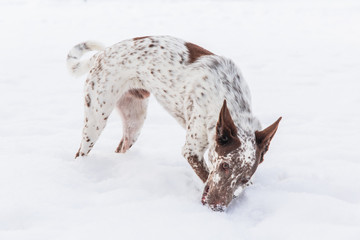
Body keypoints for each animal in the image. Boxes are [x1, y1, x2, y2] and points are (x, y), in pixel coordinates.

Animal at [67, 35, 282, 212]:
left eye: (245, 178)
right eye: (225, 166)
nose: (218, 207)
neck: (228, 97)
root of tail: (101, 55)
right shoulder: (191, 150)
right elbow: (206, 177)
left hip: (135, 122)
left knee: (122, 147)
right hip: (96, 120)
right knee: (81, 152)